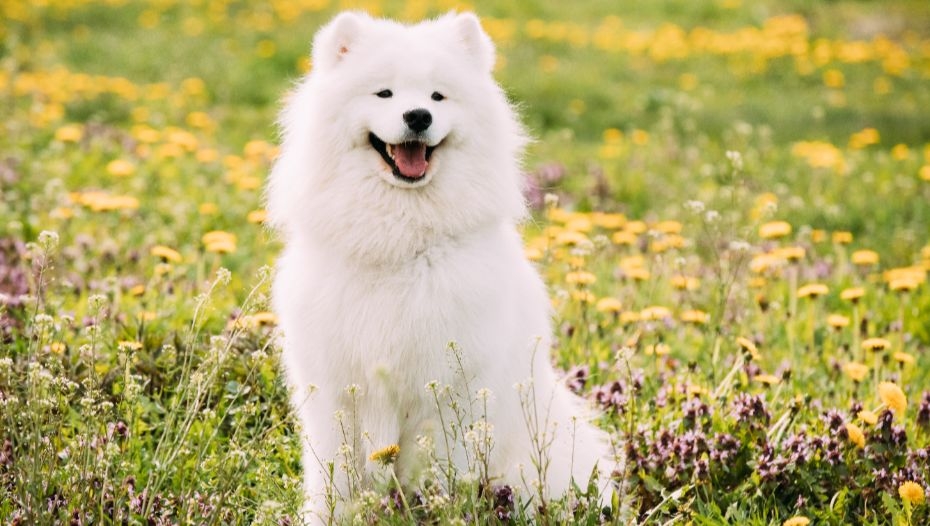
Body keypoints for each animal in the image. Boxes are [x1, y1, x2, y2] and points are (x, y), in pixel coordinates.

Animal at [266, 11, 616, 524]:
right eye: (384, 93)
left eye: (437, 96)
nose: (418, 117)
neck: (402, 241)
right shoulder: (336, 390)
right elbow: (337, 480)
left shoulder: (450, 392)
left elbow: (442, 472)